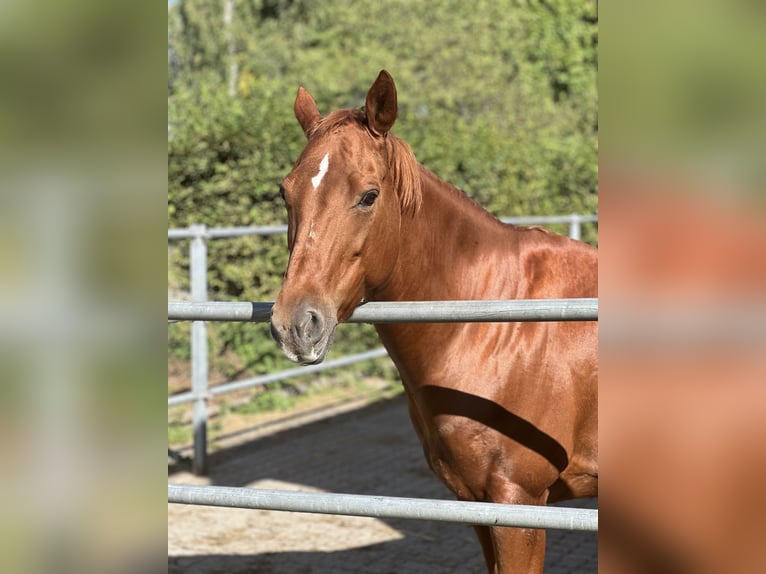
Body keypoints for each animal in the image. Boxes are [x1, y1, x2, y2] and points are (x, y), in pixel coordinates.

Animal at [270, 70, 598, 573]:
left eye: (369, 196)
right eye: (285, 193)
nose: (295, 324)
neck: (489, 324)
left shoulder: (519, 503)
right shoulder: (476, 503)